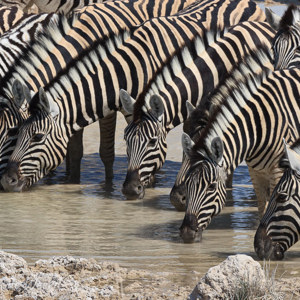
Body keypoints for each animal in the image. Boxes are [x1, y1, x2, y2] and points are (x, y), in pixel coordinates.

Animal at [0, 0, 264, 192]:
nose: (6, 182)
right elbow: (74, 150)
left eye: (35, 137)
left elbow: (108, 152)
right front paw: (71, 182)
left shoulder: (114, 107)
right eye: (18, 131)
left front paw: (114, 187)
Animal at [179, 51, 300, 244]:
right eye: (188, 184)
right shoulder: (256, 172)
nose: (186, 233)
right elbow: (263, 210)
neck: (257, 128)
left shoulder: (279, 172)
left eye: (211, 187)